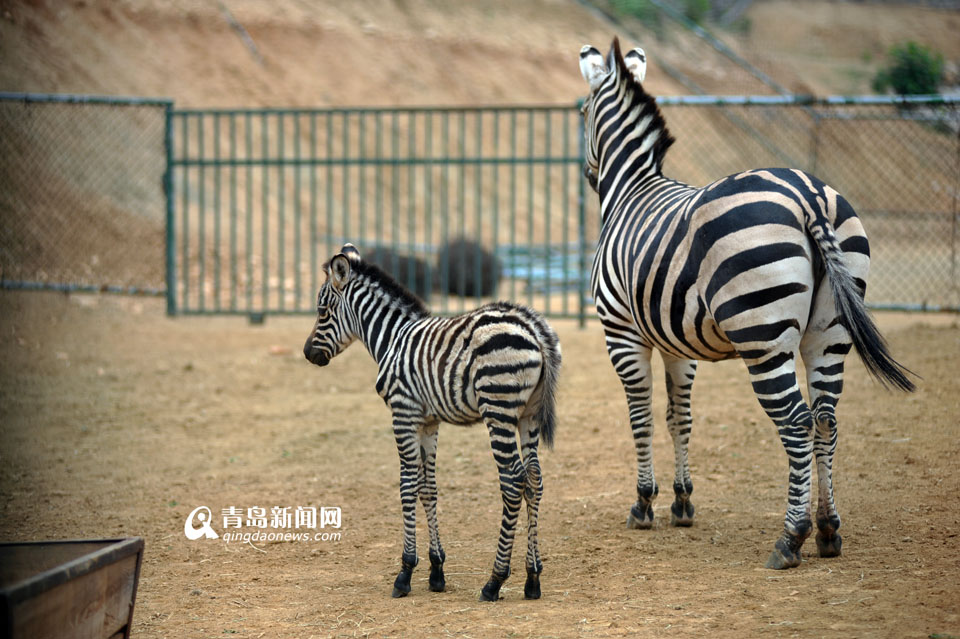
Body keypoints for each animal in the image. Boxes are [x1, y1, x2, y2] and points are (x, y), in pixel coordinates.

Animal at [302, 244, 564, 600]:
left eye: (322, 311)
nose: (307, 354)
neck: (392, 338)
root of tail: (533, 326)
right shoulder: (429, 422)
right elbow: (429, 489)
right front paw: (436, 570)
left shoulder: (403, 413)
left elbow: (407, 486)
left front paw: (405, 572)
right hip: (529, 415)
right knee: (534, 481)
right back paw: (532, 578)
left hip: (498, 409)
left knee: (513, 482)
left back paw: (494, 581)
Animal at [576, 38, 916, 568]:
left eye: (583, 112)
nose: (590, 176)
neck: (633, 190)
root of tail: (808, 193)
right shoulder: (677, 343)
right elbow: (679, 418)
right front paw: (682, 502)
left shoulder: (622, 334)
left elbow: (641, 418)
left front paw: (644, 504)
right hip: (829, 334)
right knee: (826, 419)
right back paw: (827, 530)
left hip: (763, 338)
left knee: (797, 422)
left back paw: (790, 538)